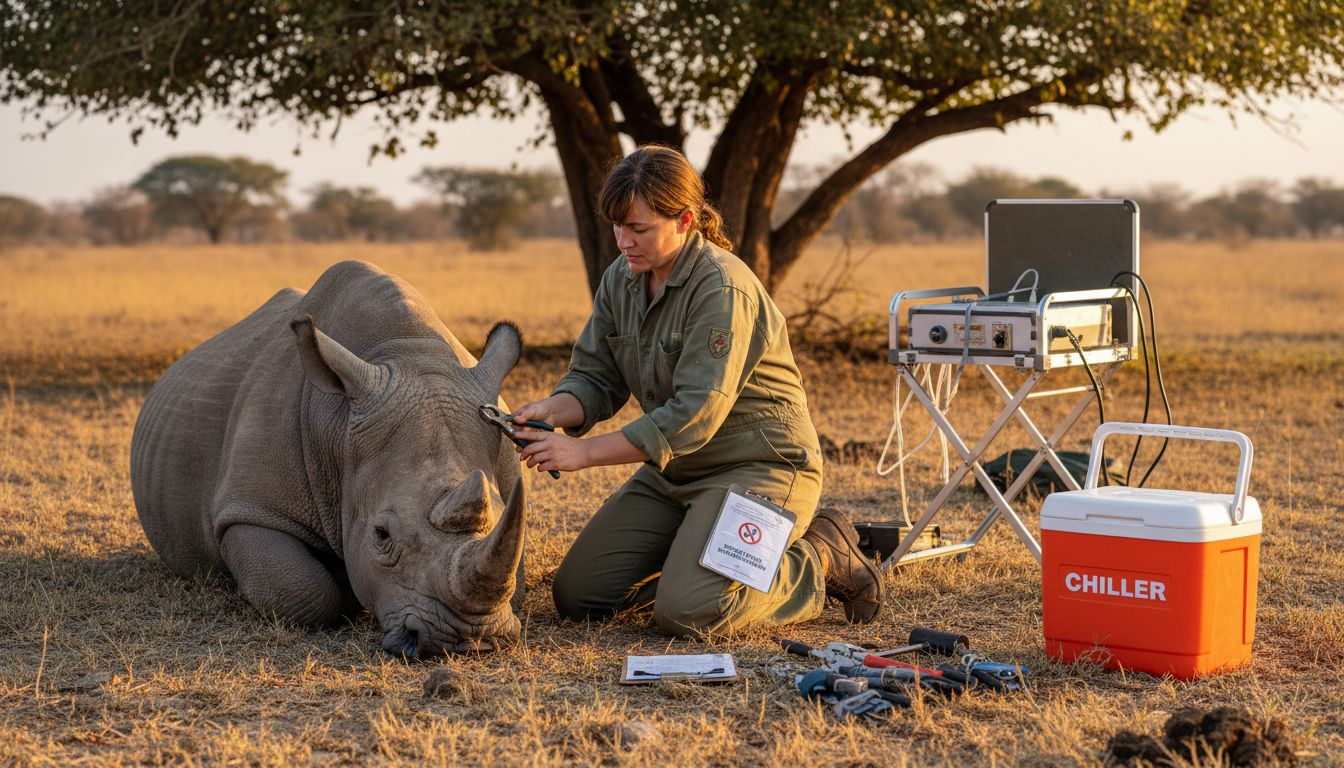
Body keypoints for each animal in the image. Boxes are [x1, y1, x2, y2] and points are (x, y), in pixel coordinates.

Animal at [130, 260, 526, 657]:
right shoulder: (250, 510)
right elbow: (303, 589)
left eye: (501, 510)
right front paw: (343, 588)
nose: (469, 638)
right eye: (381, 534)